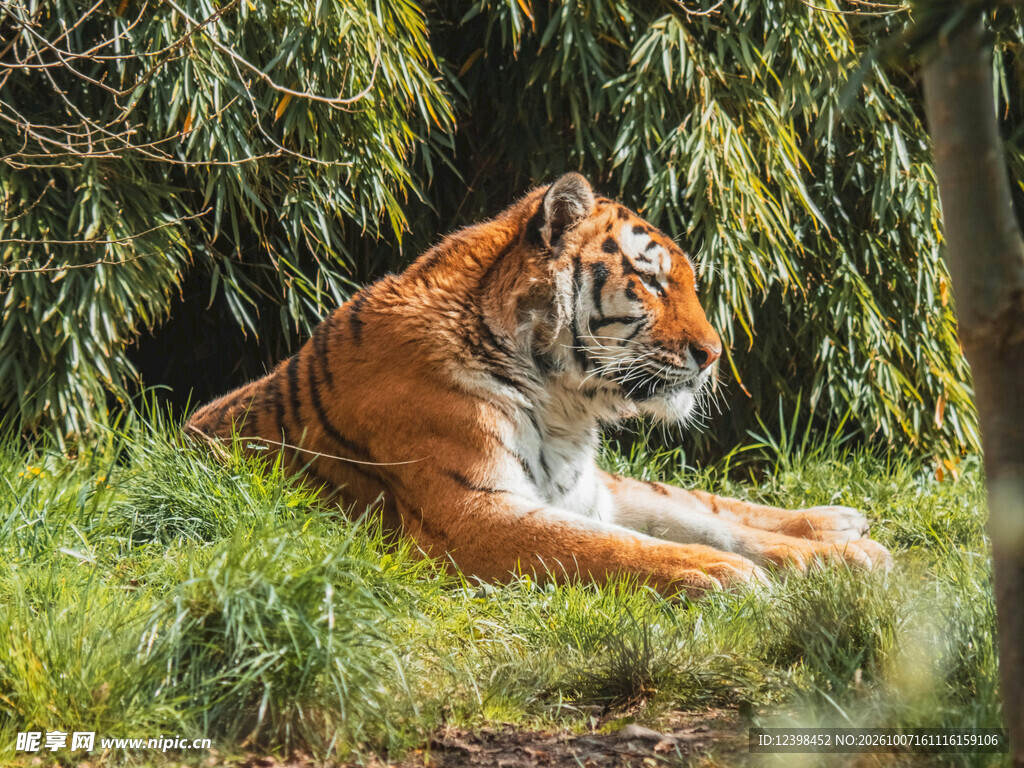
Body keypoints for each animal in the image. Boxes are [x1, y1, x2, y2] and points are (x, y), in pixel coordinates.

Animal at [187, 172, 892, 597]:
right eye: (652, 282)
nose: (715, 355)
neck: (563, 407)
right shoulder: (475, 514)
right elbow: (615, 547)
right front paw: (719, 572)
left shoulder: (585, 492)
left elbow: (704, 519)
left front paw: (837, 559)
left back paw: (838, 523)